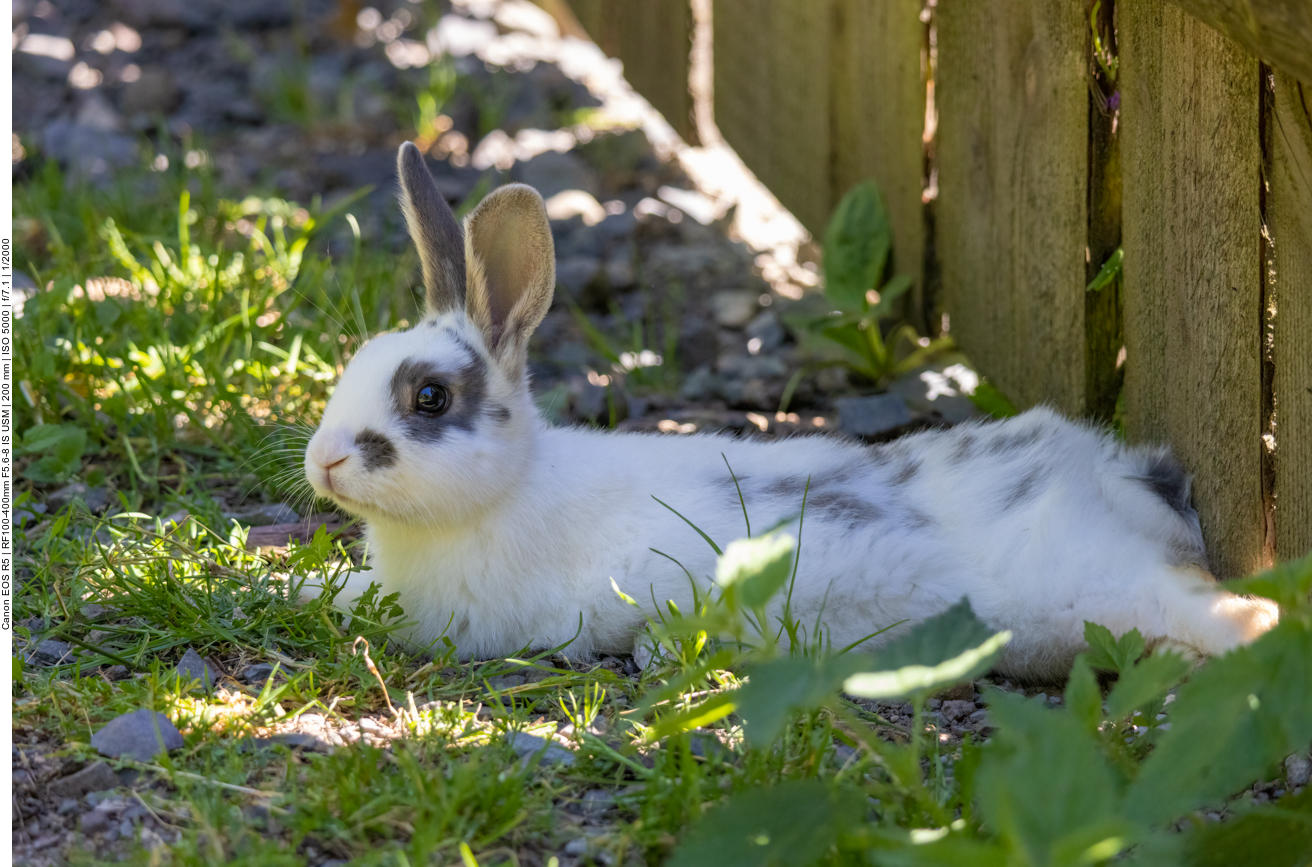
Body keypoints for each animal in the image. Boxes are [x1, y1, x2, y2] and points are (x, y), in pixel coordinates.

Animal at [302, 142, 1278, 681]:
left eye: (429, 396)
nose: (324, 461)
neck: (509, 491)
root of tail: (1123, 481)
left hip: (1097, 578)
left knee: (1226, 611)